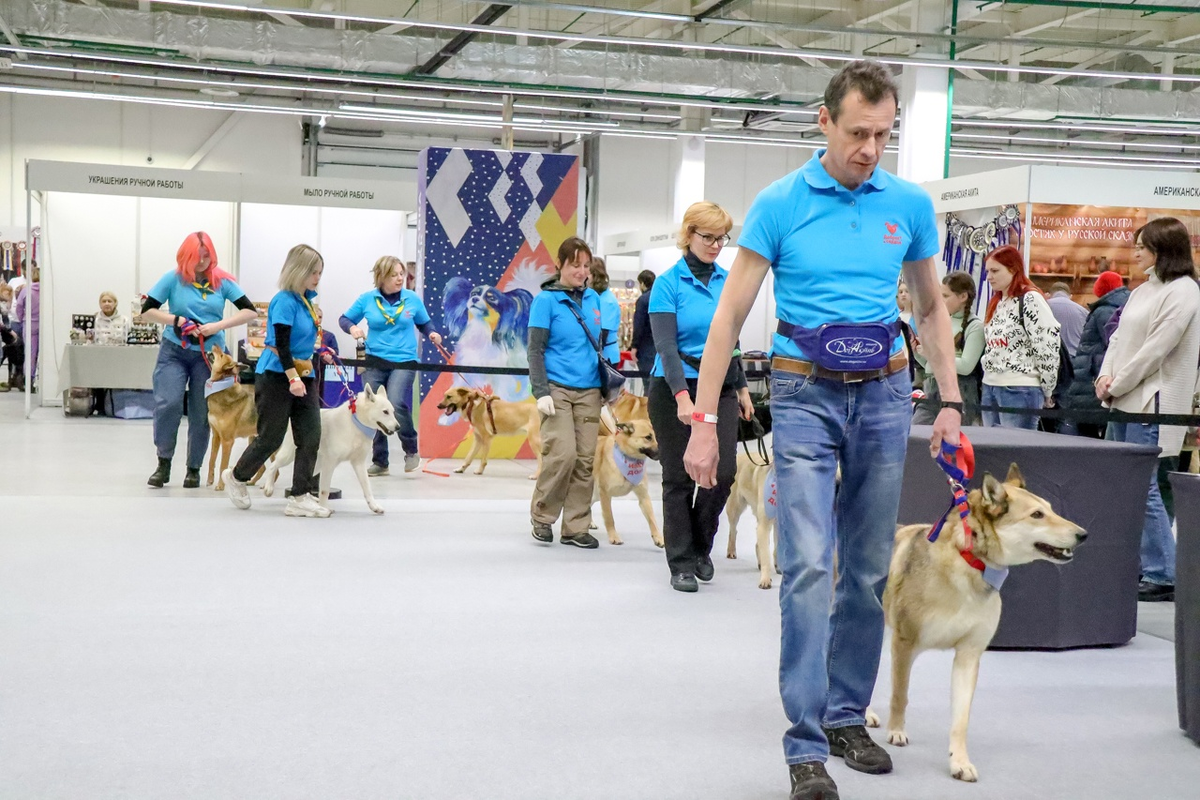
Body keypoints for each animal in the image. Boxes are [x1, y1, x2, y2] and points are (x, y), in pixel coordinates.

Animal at [206, 347, 260, 491]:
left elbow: (222, 465)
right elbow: (212, 460)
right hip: (253, 440)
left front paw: (220, 485)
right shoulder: (216, 436)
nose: (215, 344)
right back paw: (252, 482)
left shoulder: (227, 441)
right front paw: (210, 480)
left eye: (221, 355)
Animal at [262, 386, 398, 513]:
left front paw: (374, 506)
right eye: (385, 412)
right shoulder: (330, 462)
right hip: (289, 456)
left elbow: (367, 488)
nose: (398, 427)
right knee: (273, 466)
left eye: (393, 412)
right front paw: (323, 508)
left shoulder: (358, 463)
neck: (355, 423)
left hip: (315, 464)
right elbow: (324, 490)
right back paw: (268, 488)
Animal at [720, 453, 777, 592]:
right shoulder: (765, 524)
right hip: (735, 507)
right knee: (733, 531)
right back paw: (731, 551)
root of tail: (739, 455)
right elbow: (766, 555)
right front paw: (765, 580)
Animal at [883, 465, 1089, 786]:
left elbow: (961, 720)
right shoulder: (905, 643)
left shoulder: (969, 655)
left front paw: (960, 762)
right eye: (1037, 515)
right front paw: (896, 730)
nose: (1083, 535)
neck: (969, 562)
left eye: (1051, 509)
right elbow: (899, 694)